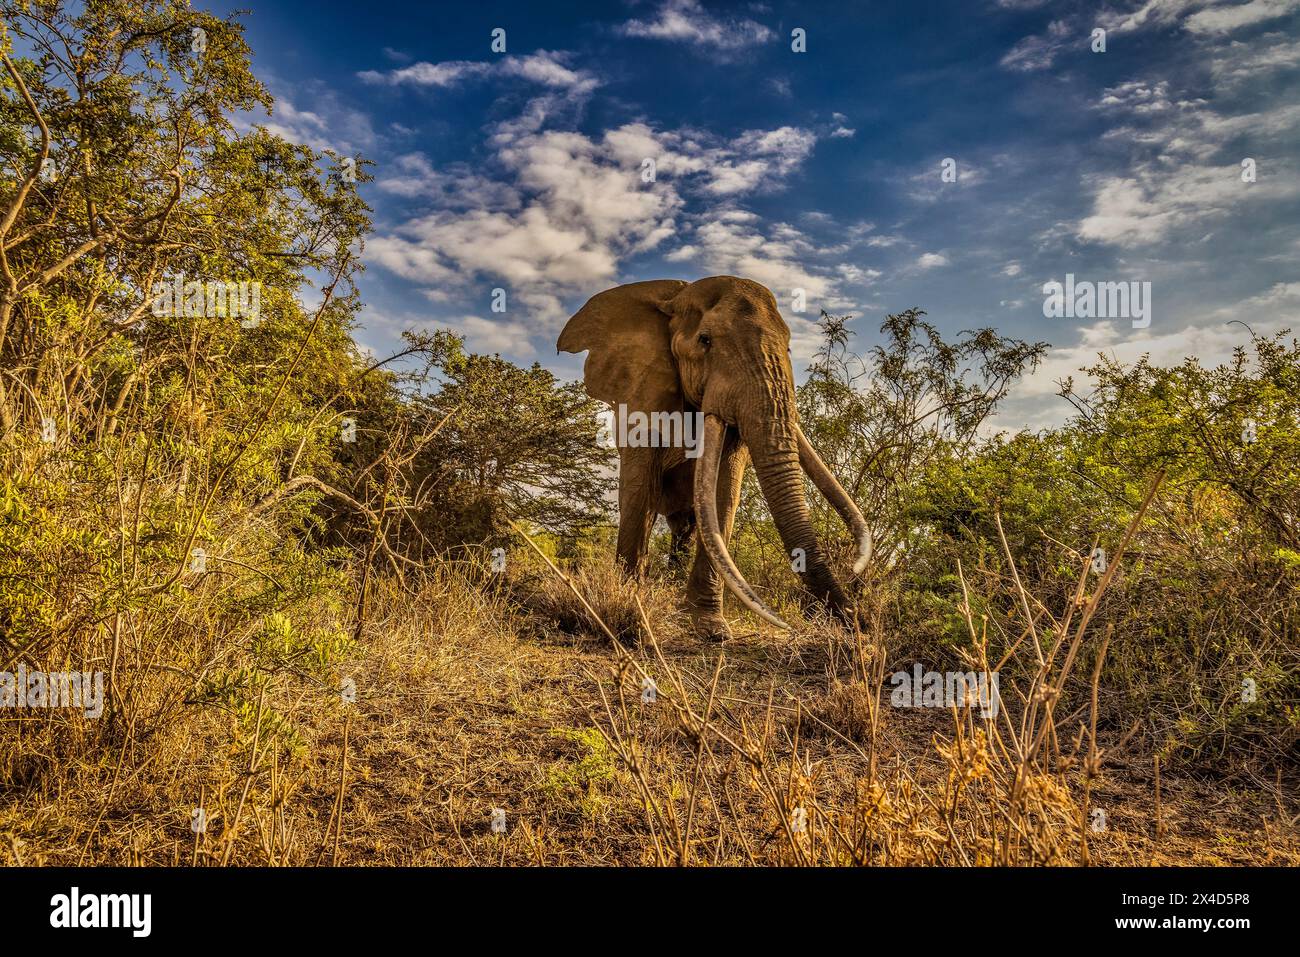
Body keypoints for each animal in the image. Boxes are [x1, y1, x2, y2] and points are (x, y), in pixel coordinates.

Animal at [559, 273, 873, 639]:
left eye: (789, 347)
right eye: (705, 340)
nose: (856, 620)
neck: (673, 299)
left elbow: (724, 492)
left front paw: (710, 629)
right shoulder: (643, 389)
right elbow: (640, 490)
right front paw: (628, 605)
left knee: (687, 526)